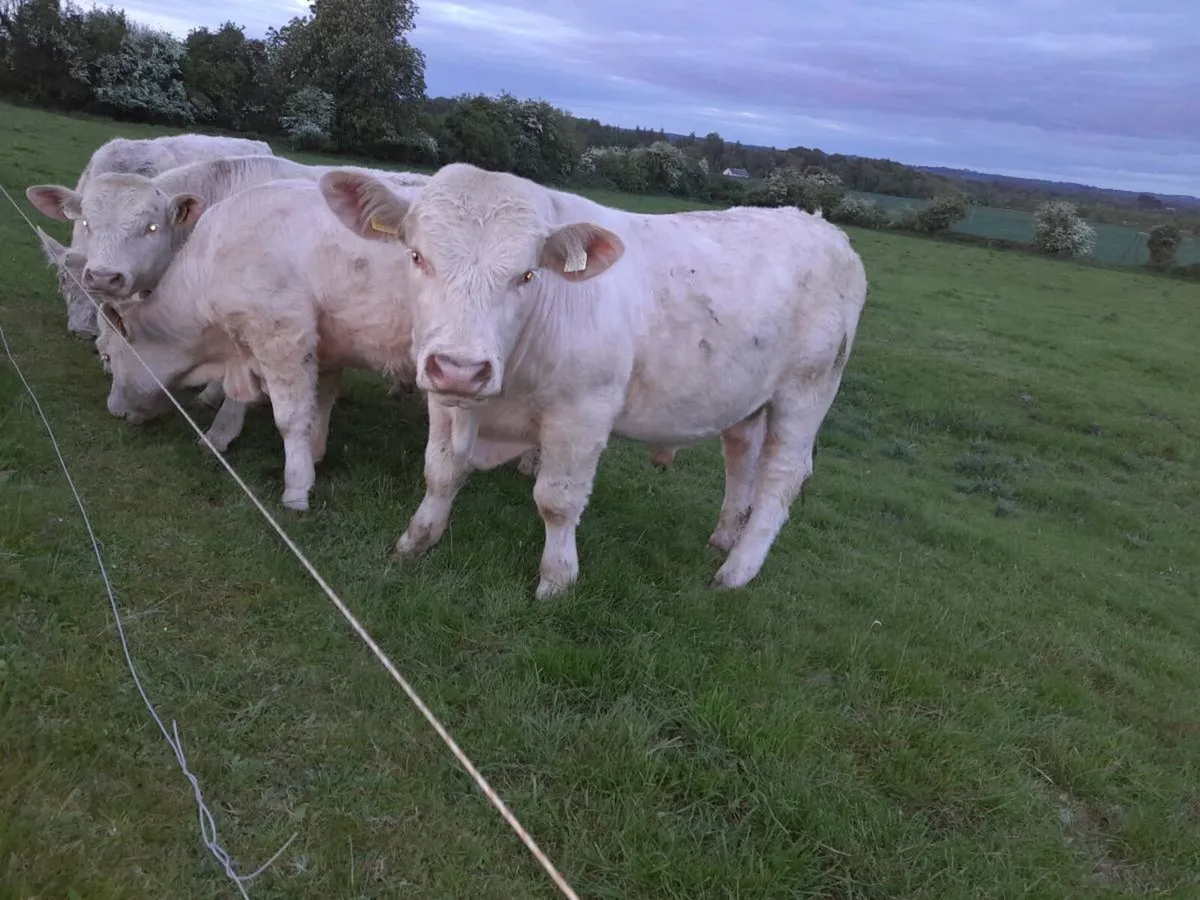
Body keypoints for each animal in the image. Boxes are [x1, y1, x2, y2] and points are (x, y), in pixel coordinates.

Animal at [317, 163, 869, 598]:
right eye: (416, 256)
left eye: (526, 275)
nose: (461, 366)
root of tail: (822, 226)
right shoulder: (445, 396)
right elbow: (441, 470)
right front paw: (416, 540)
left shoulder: (581, 413)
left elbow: (557, 501)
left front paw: (556, 581)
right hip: (748, 395)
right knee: (741, 456)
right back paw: (726, 535)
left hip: (807, 390)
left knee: (781, 476)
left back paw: (737, 570)